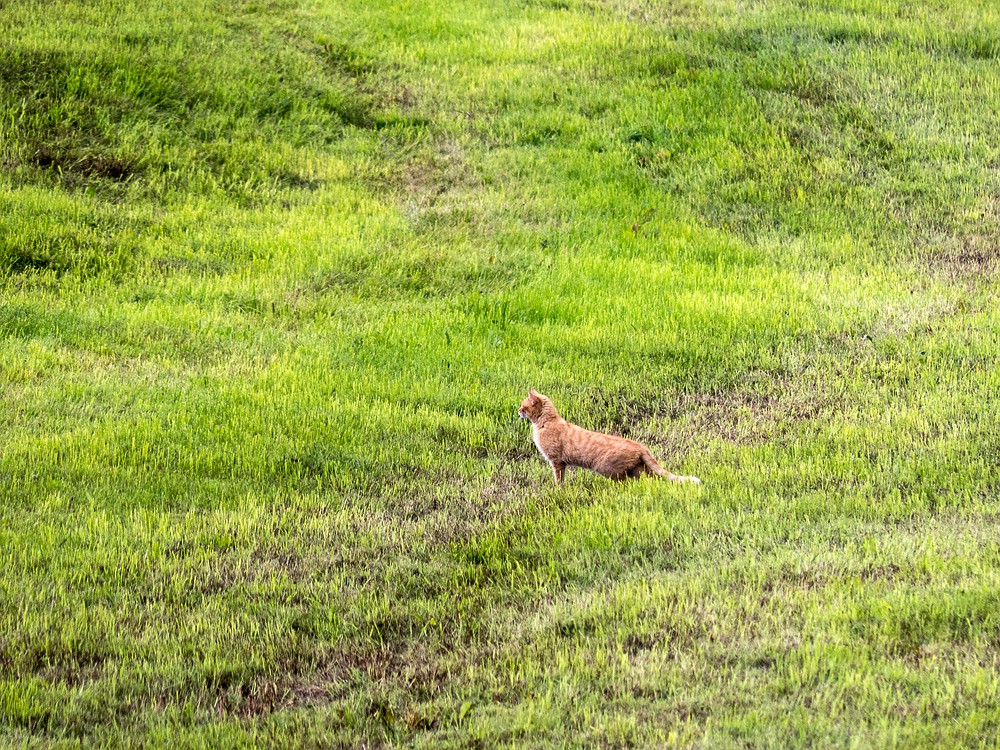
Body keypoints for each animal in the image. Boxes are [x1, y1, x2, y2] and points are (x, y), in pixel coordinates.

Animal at [520, 388, 700, 488]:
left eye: (523, 406)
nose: (517, 410)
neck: (546, 422)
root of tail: (641, 446)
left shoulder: (557, 462)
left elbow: (559, 479)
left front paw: (558, 490)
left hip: (609, 469)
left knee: (626, 483)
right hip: (640, 471)